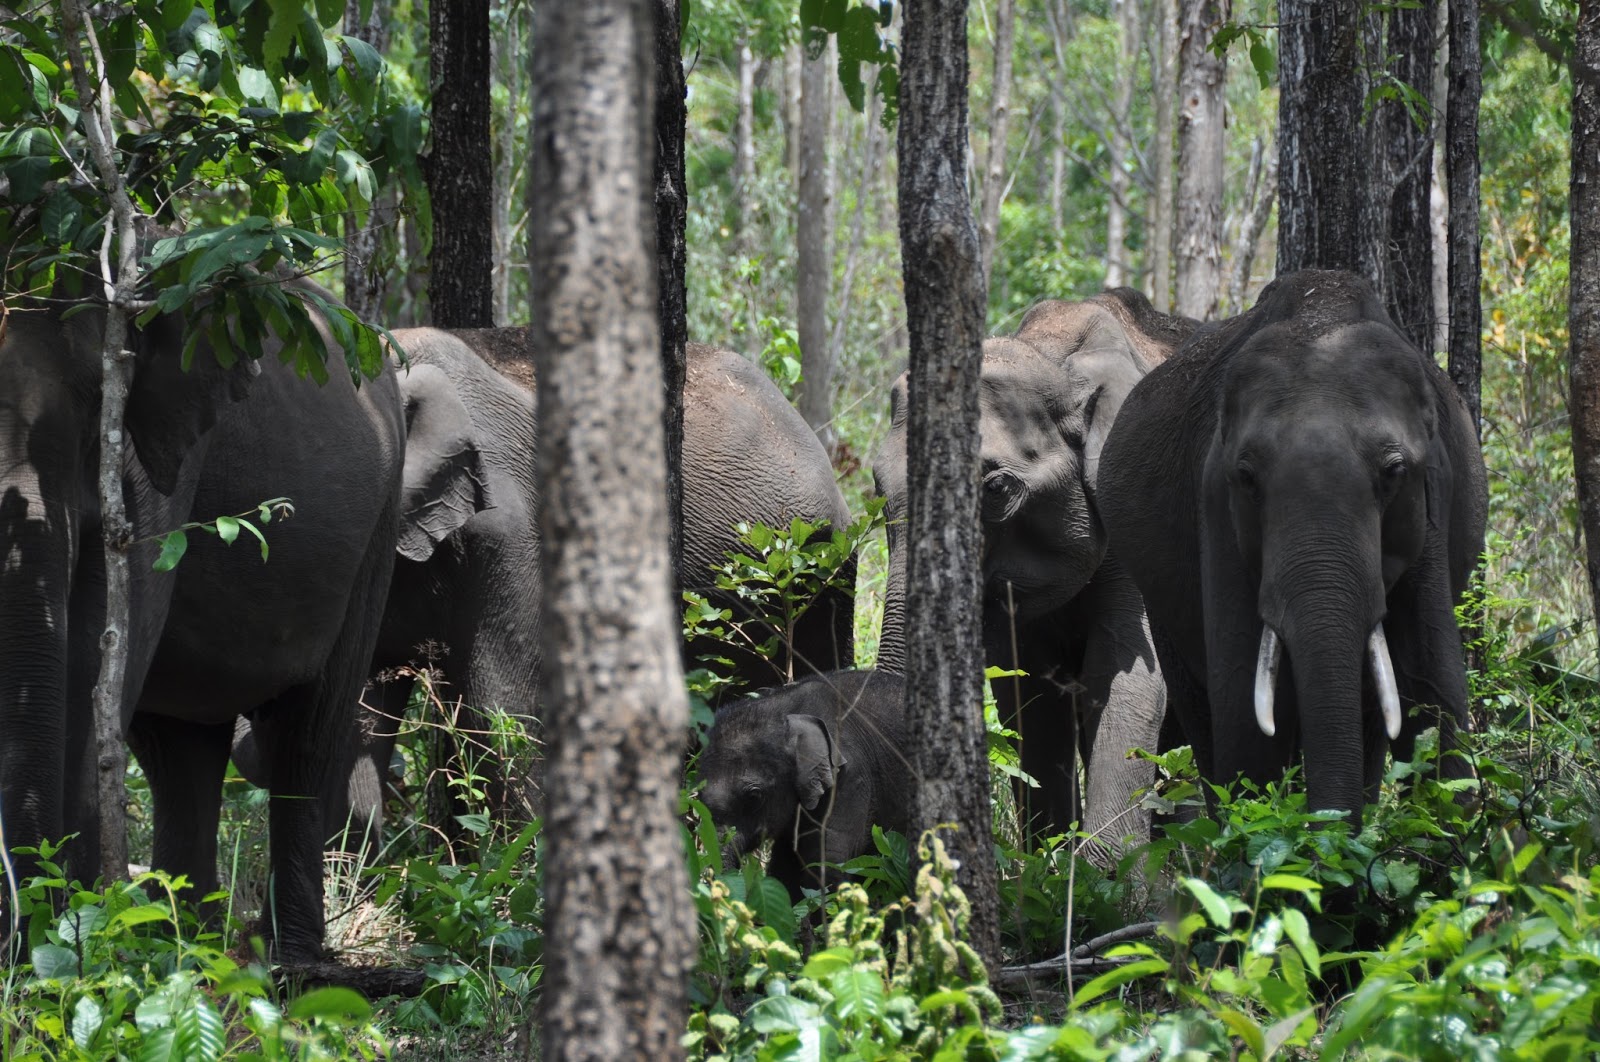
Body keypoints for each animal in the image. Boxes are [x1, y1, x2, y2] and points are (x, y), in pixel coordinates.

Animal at [0, 294, 485, 961]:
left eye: (97, 396)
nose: (27, 946)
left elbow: (97, 659)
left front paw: (68, 948)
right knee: (180, 753)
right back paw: (194, 948)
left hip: (376, 533)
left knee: (305, 736)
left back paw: (291, 960)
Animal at [872, 289, 1195, 852]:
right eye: (875, 484)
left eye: (996, 489)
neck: (1055, 356)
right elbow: (1029, 696)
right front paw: (1051, 858)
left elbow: (1124, 678)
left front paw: (1103, 871)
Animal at [1096, 270, 1488, 824]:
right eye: (1246, 477)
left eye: (1394, 472)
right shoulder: (1213, 503)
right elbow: (1247, 708)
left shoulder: (1433, 496)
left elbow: (1431, 688)